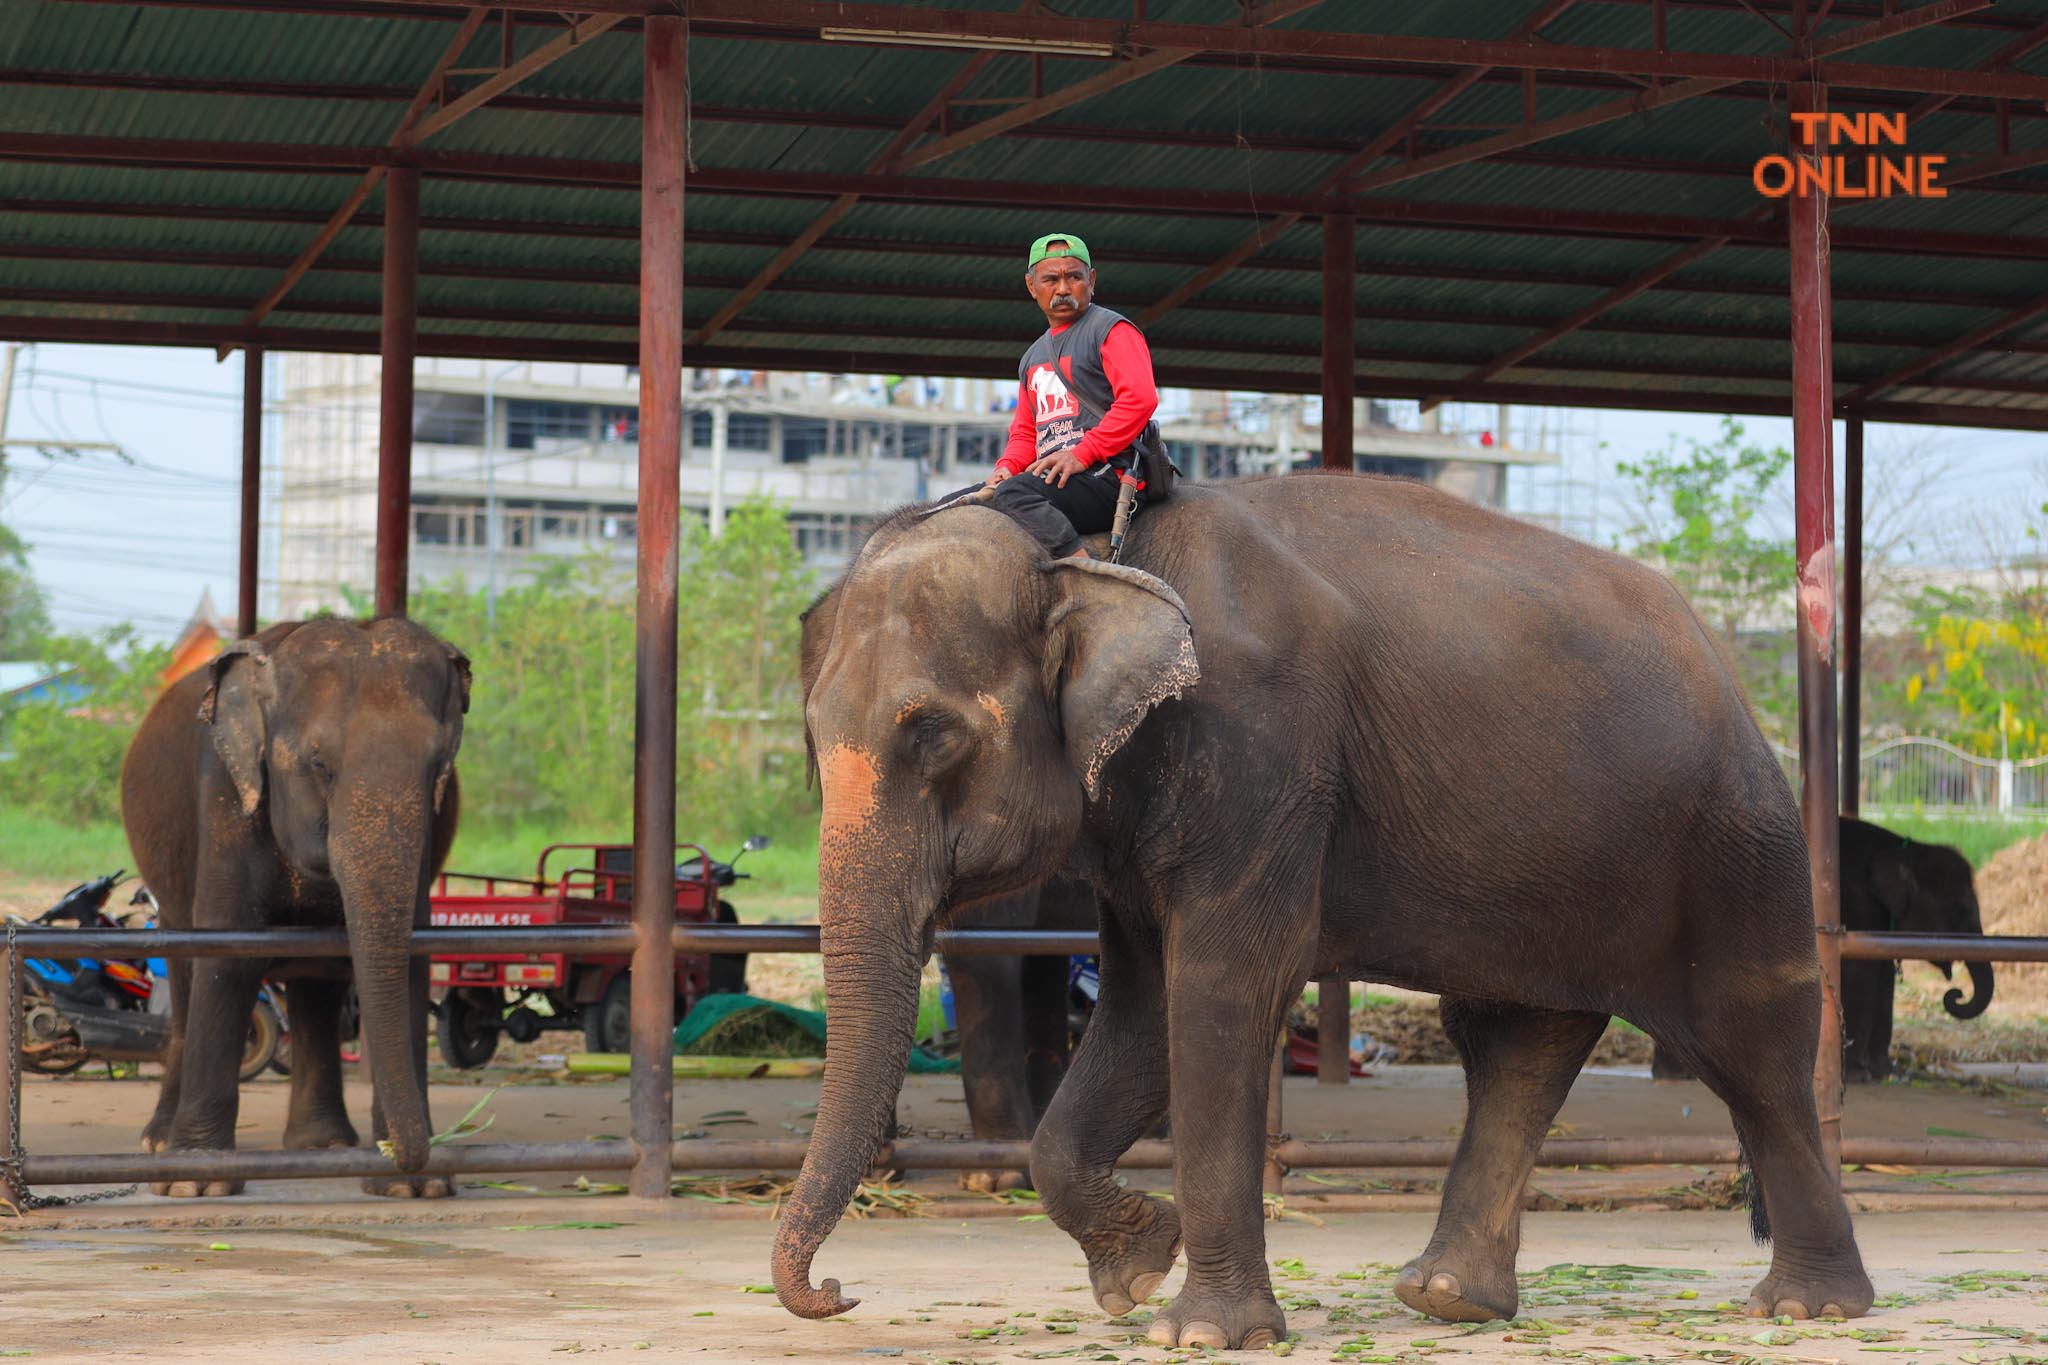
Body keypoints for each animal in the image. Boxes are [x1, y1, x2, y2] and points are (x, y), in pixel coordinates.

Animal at [122, 618, 468, 1195]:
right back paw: (157, 1145)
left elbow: (412, 962)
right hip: (167, 891)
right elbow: (227, 958)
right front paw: (197, 1181)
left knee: (316, 990)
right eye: (320, 764)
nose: (409, 1158)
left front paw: (413, 1187)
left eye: (437, 766)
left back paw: (321, 1145)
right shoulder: (225, 798)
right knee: (187, 976)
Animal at [782, 478, 1875, 1342]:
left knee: (1752, 1055)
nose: (838, 1291)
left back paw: (1806, 1308)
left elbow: (1221, 992)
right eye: (810, 737)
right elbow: (1144, 1011)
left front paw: (1197, 1332)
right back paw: (1446, 1297)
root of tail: (1728, 670)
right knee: (1515, 1043)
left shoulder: (1260, 753)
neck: (1086, 556)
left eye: (931, 733)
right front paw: (1135, 1273)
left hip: (1733, 848)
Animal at [1646, 818, 1998, 1080]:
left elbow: (1883, 976)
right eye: (1961, 909)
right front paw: (1858, 1075)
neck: (1901, 847)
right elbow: (1862, 975)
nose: (1954, 994)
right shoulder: (1857, 904)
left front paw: (1885, 1072)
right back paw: (1677, 1075)